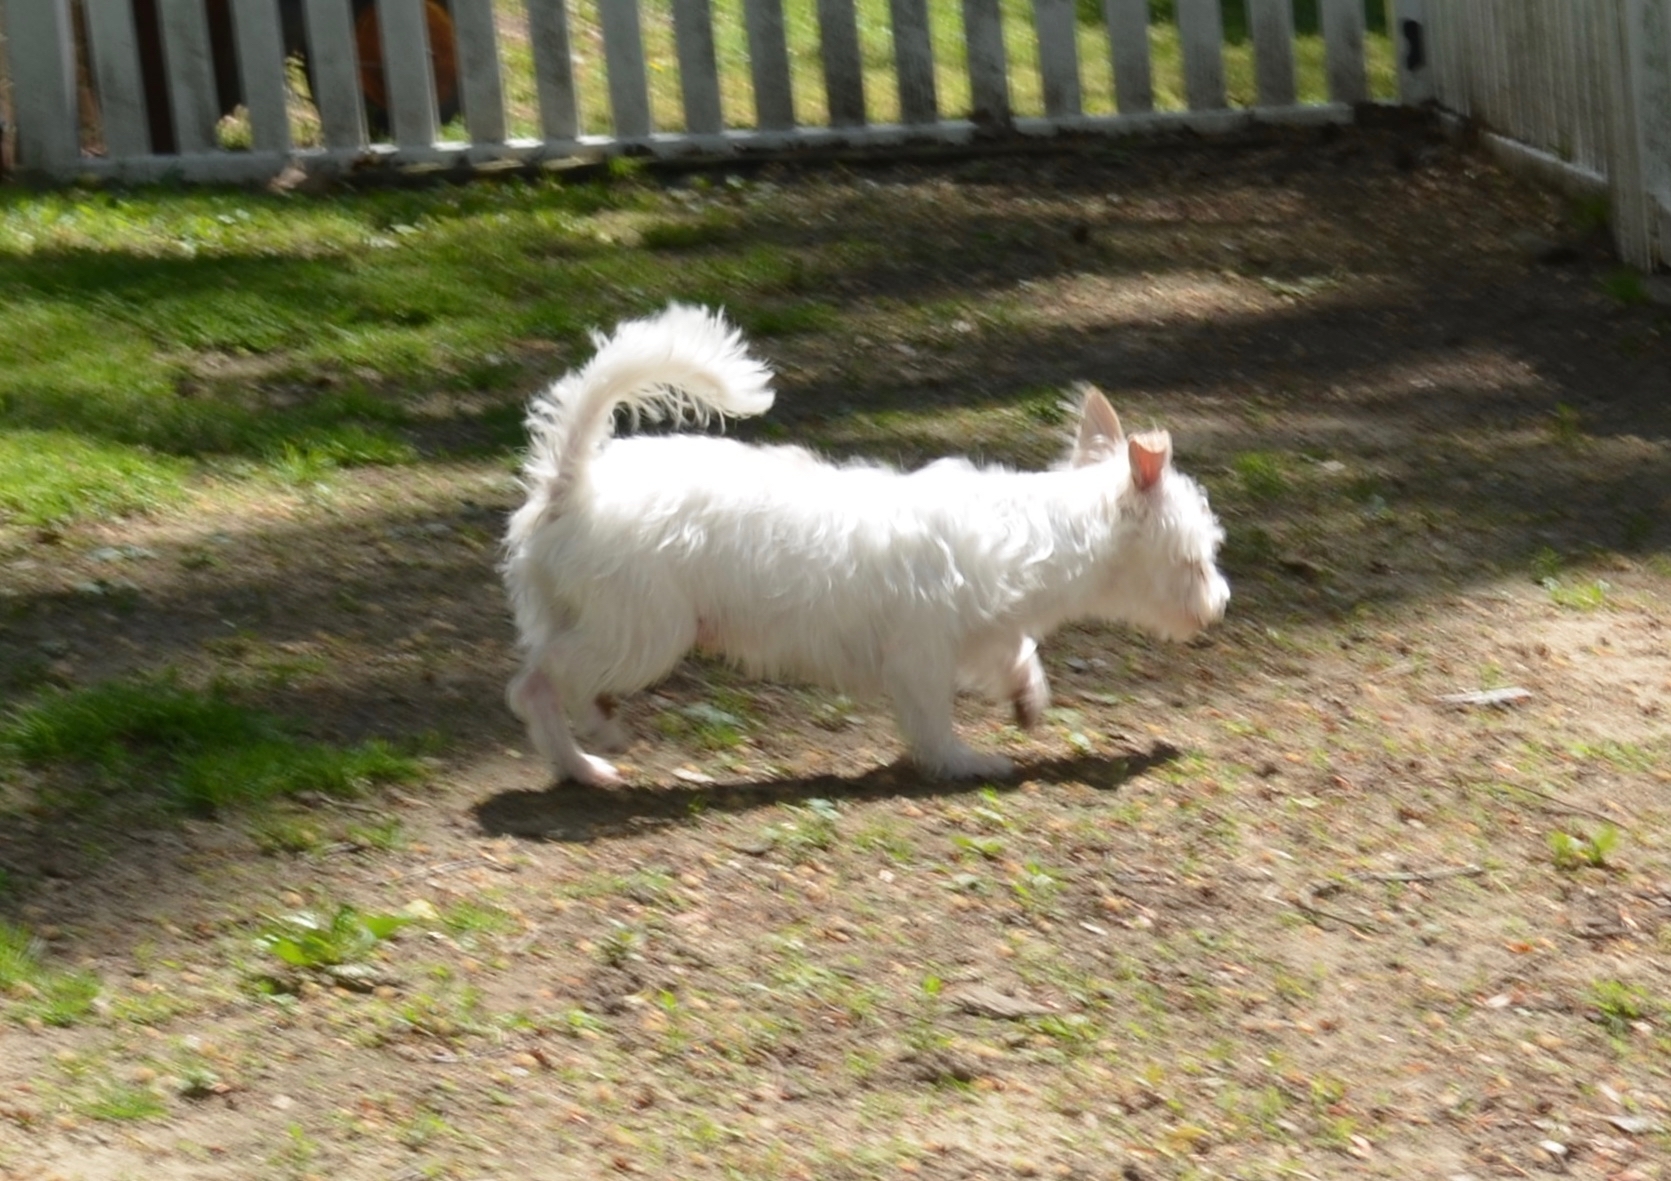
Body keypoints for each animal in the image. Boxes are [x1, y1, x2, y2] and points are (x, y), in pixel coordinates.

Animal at [497, 305, 1229, 785]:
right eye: (1196, 559)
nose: (1219, 603)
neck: (1040, 530)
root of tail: (572, 484)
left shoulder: (987, 633)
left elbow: (1018, 657)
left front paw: (1028, 699)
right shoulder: (921, 656)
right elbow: (933, 722)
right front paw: (965, 762)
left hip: (593, 620)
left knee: (542, 684)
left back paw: (581, 767)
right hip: (642, 632)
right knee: (541, 683)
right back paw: (596, 738)